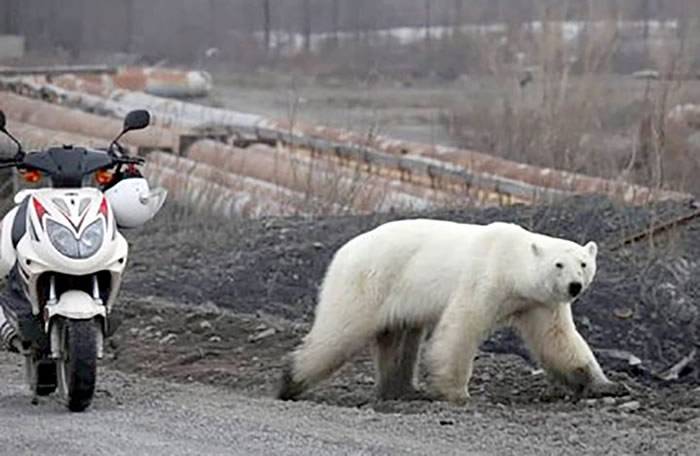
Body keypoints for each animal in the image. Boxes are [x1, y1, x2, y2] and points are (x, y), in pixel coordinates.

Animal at [278, 221, 624, 402]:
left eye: (583, 263)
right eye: (558, 264)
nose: (574, 287)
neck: (512, 264)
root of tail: (343, 250)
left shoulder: (539, 302)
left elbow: (558, 340)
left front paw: (604, 384)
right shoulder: (485, 279)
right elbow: (461, 328)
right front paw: (456, 393)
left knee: (399, 339)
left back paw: (402, 390)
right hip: (370, 281)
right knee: (340, 331)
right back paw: (291, 381)